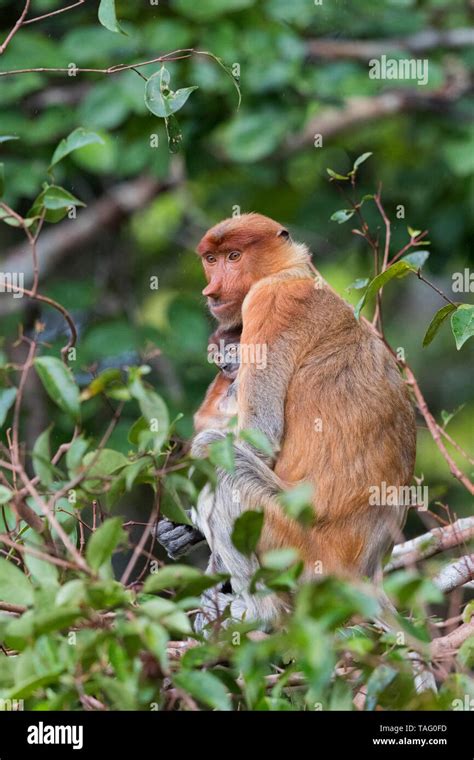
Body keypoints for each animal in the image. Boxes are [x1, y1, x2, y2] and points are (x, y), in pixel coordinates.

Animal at [189, 212, 414, 624]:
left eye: (233, 256)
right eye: (211, 259)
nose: (212, 290)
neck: (290, 271)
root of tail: (363, 576)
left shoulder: (269, 303)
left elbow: (257, 438)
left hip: (295, 545)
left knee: (215, 453)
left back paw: (260, 615)